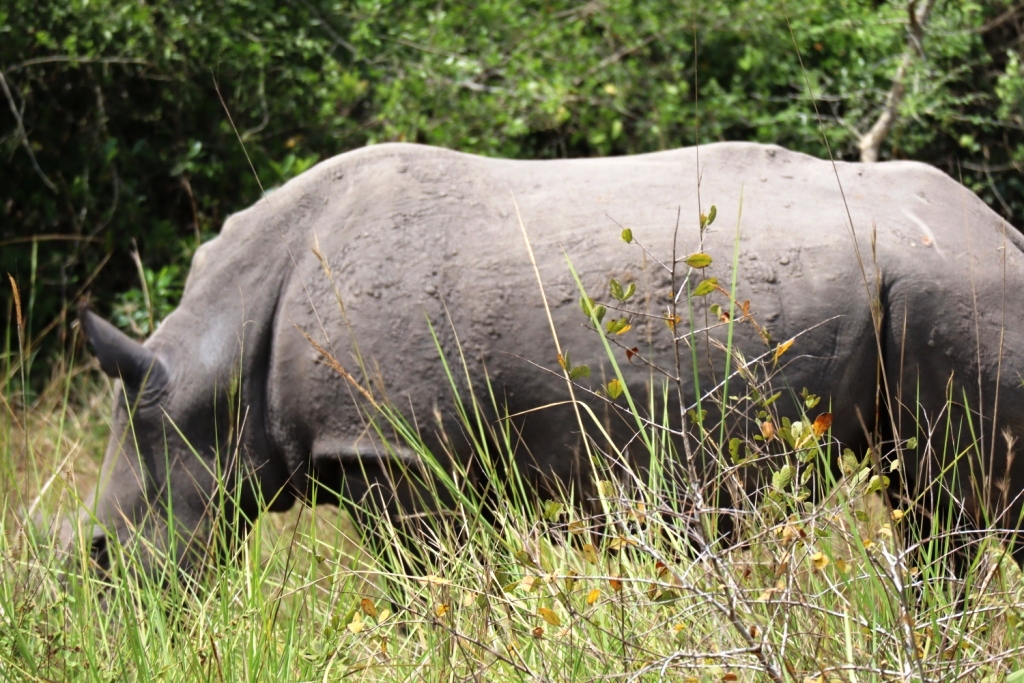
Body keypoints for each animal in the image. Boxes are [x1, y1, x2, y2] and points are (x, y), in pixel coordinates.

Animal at [70, 141, 1024, 573]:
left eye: (101, 555)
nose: (113, 610)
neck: (214, 356)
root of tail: (1002, 230)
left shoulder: (391, 450)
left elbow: (426, 589)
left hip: (961, 287)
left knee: (966, 497)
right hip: (930, 286)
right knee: (929, 504)